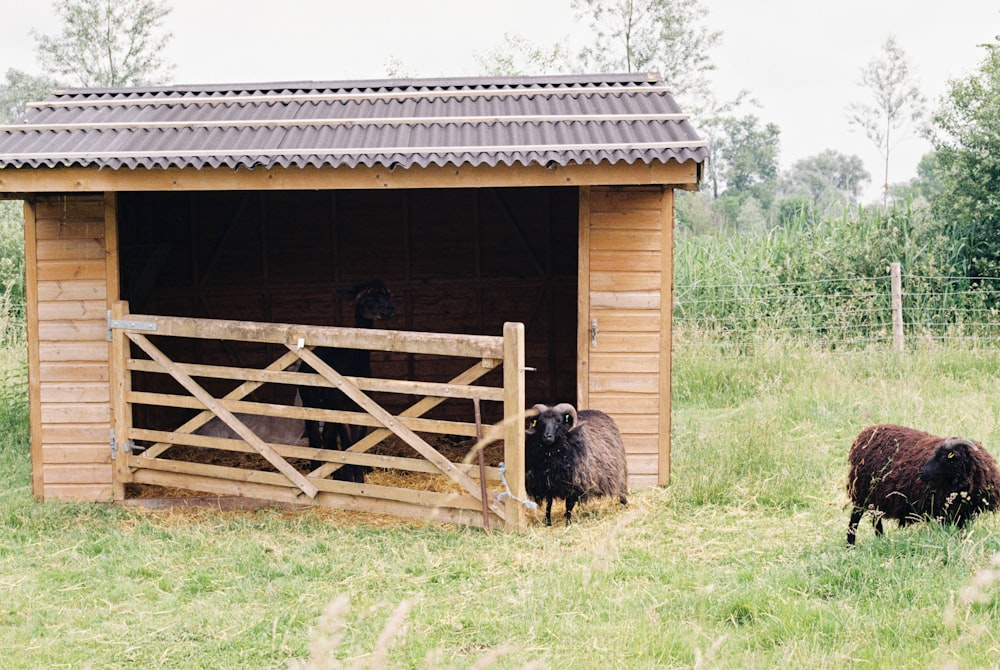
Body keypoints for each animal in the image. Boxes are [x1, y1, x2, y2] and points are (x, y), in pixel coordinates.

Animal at [296, 280, 394, 484]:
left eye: (388, 294)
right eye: (367, 297)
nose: (390, 309)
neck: (354, 367)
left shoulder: (360, 409)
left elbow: (357, 444)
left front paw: (358, 479)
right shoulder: (341, 406)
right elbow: (348, 444)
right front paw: (351, 479)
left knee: (328, 438)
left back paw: (335, 475)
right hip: (310, 400)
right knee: (315, 437)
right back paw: (316, 473)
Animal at [844, 426, 1000, 544]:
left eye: (943, 457)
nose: (921, 472)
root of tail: (864, 435)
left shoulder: (964, 513)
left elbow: (962, 531)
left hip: (873, 497)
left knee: (875, 518)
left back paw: (881, 540)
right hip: (862, 493)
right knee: (855, 519)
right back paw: (851, 545)